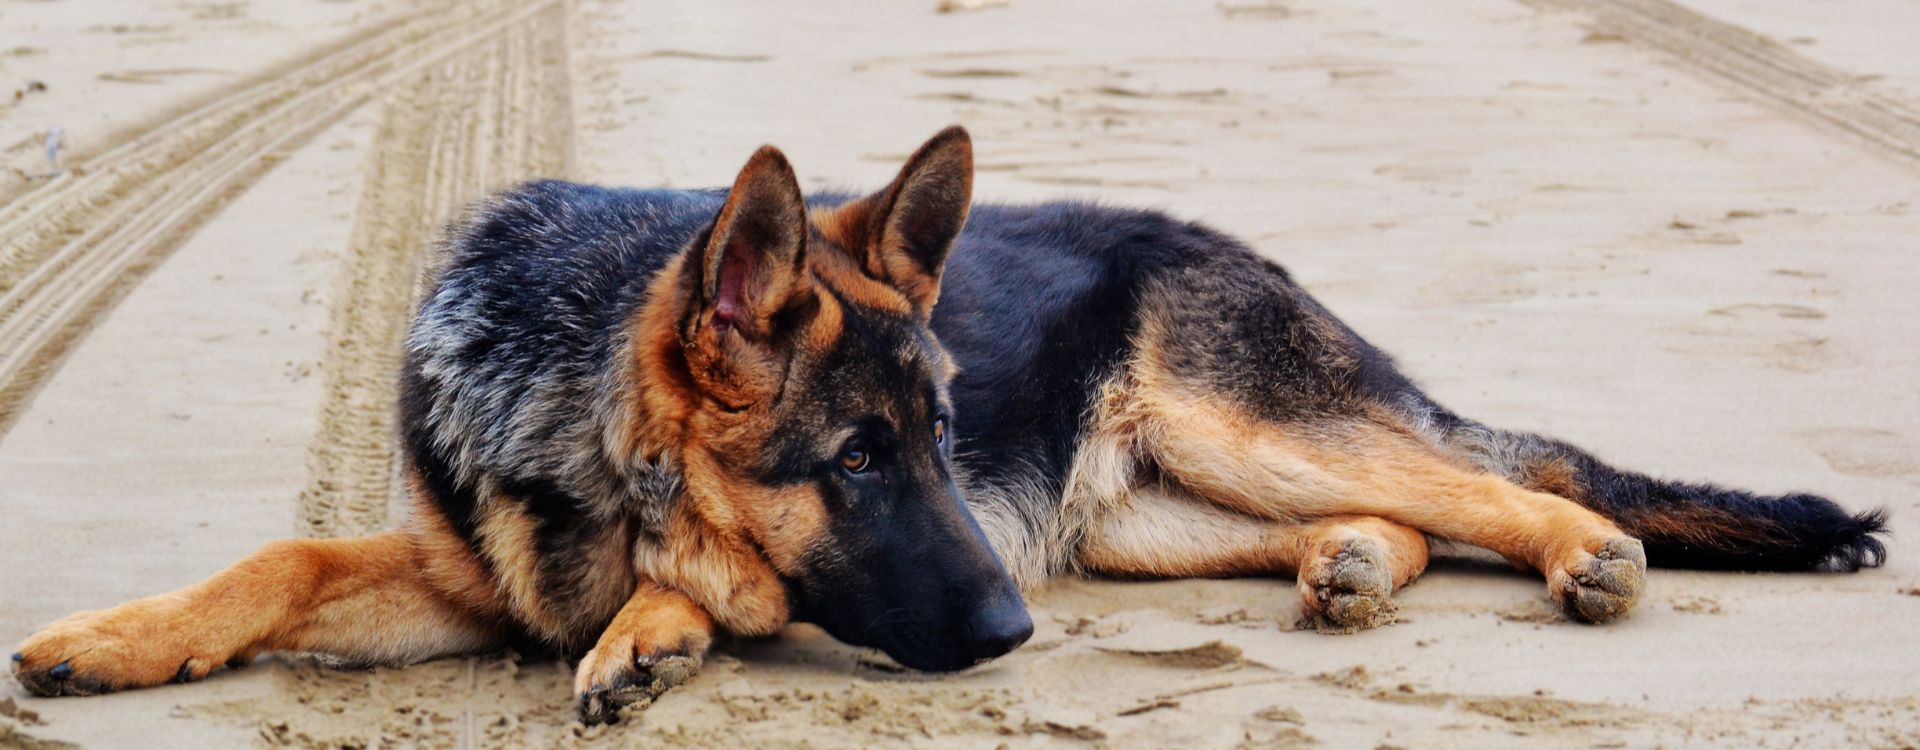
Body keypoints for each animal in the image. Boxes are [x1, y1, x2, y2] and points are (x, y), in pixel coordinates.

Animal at [11, 127, 1889, 721]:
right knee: (1412, 512)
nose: (1005, 636)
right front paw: (113, 637)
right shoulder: (460, 571)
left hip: (1232, 426)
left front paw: (655, 627)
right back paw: (1353, 571)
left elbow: (704, 576)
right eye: (858, 459)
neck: (576, 420)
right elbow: (273, 563)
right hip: (1138, 519)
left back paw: (1591, 556)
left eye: (930, 443)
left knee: (1502, 478)